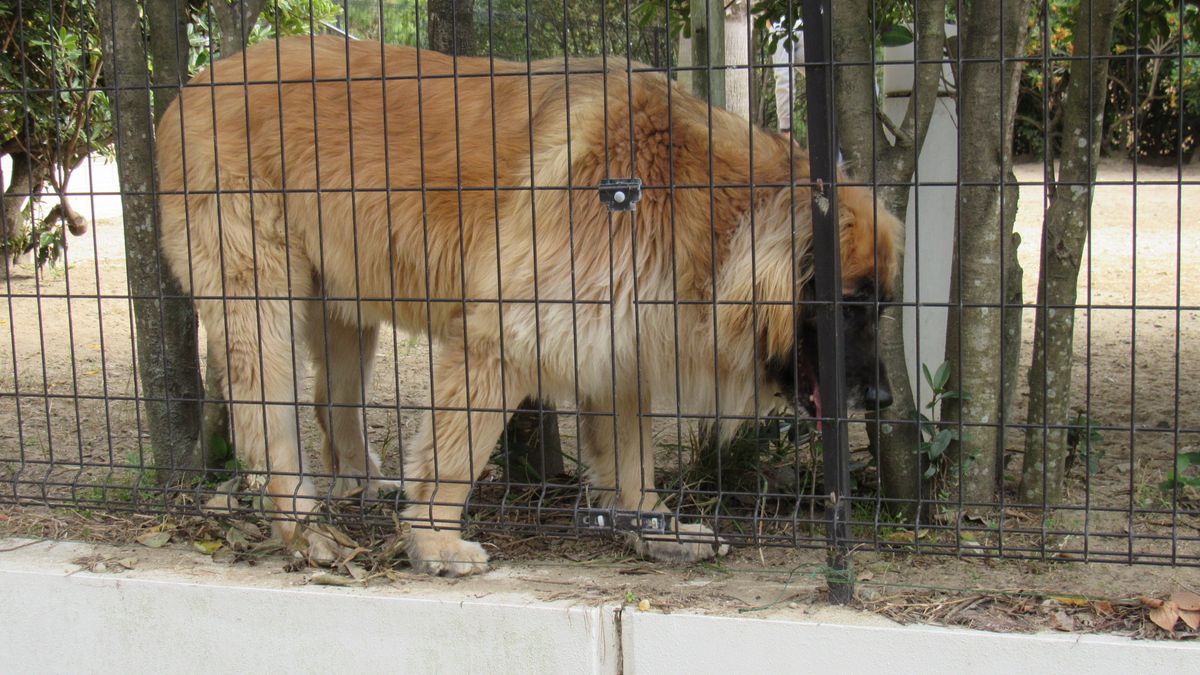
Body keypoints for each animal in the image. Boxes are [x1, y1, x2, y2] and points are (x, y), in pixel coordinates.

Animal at [154, 35, 897, 571]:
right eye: (852, 306)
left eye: (883, 308)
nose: (884, 401)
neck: (698, 203)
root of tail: (189, 90)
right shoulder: (505, 338)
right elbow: (454, 454)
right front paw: (433, 541)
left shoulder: (617, 339)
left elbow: (632, 462)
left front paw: (654, 529)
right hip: (260, 299)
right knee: (265, 422)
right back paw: (306, 531)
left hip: (344, 301)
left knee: (330, 400)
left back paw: (360, 486)